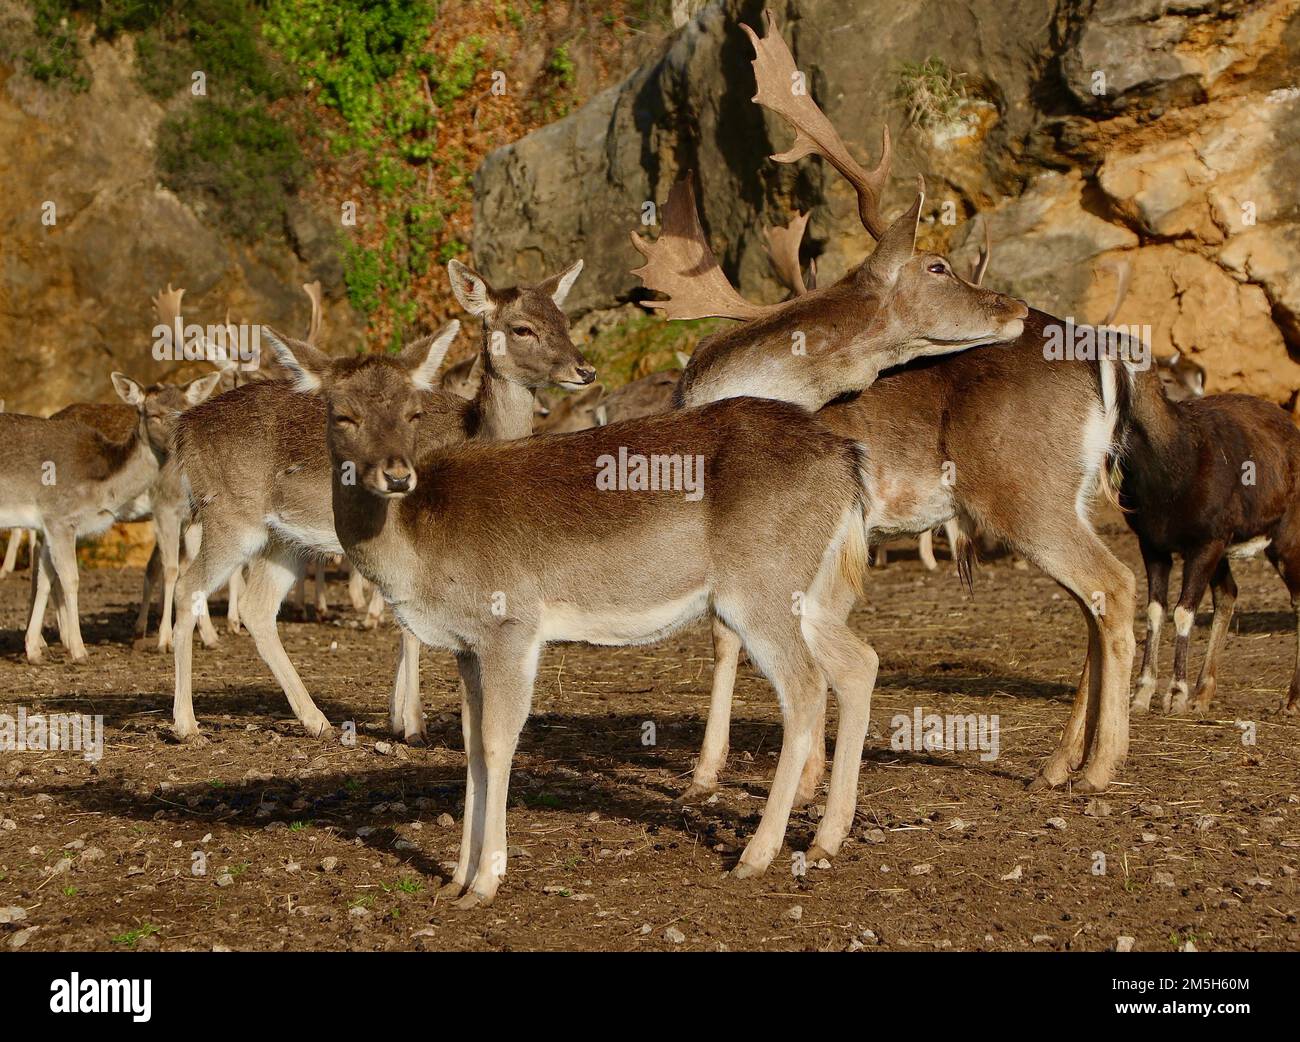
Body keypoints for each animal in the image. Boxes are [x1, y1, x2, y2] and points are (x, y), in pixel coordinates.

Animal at [274, 328, 883, 904]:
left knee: (806, 686)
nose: (397, 476)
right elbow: (471, 746)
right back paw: (825, 839)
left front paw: (485, 883)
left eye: (413, 412)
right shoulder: (467, 645)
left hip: (761, 586)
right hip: (811, 592)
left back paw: (756, 856)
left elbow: (497, 742)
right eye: (342, 414)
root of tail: (848, 460)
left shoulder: (511, 624)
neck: (416, 550)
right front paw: (453, 881)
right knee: (860, 661)